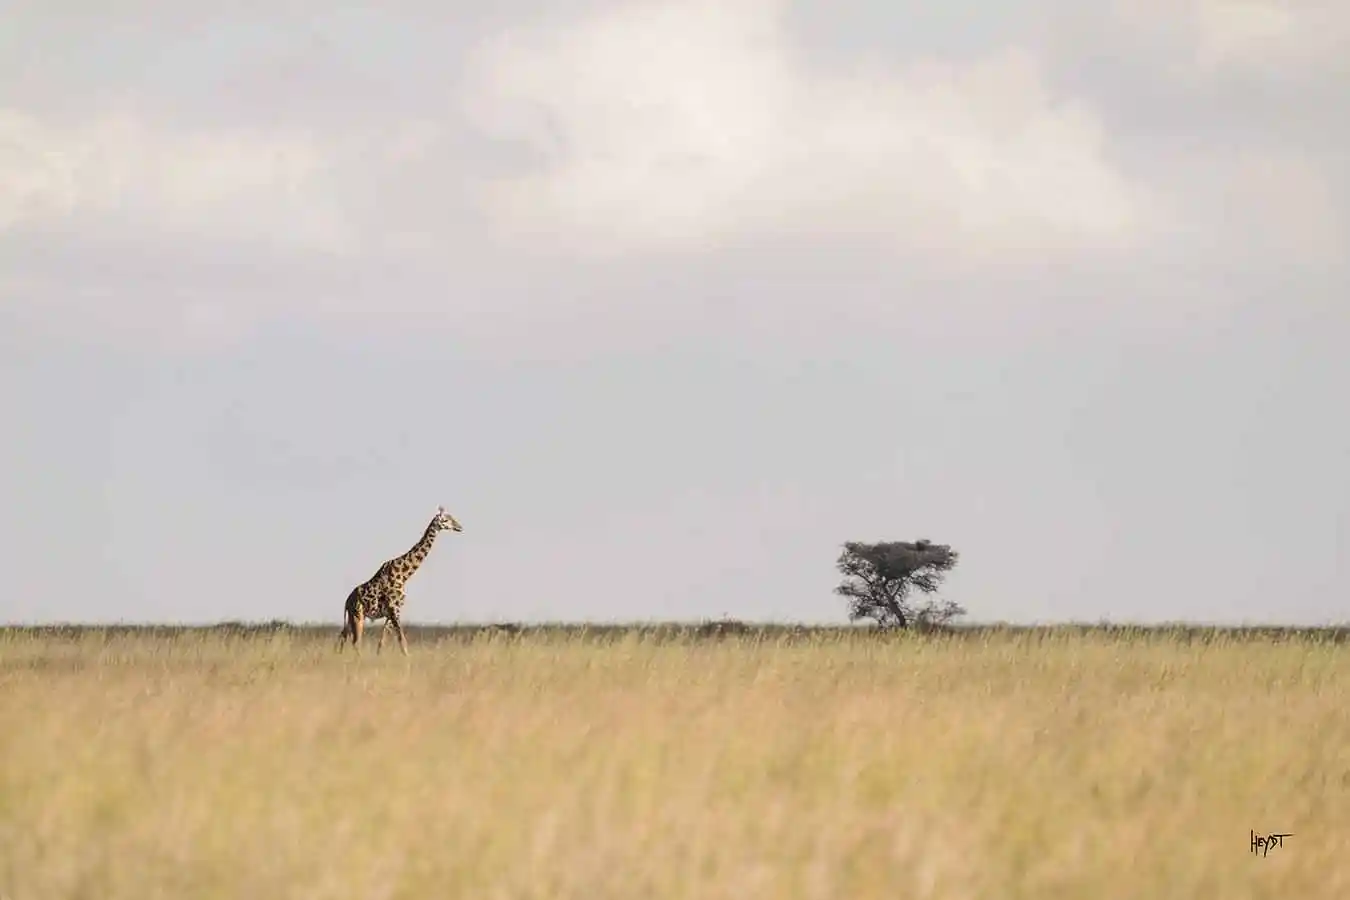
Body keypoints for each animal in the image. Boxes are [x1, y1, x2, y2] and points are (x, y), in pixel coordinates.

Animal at [337, 506, 463, 656]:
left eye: (452, 518)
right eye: (446, 520)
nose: (460, 527)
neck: (403, 575)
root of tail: (346, 601)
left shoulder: (391, 612)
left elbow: (382, 642)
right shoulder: (394, 609)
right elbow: (402, 640)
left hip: (352, 617)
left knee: (343, 637)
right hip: (357, 615)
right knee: (356, 641)